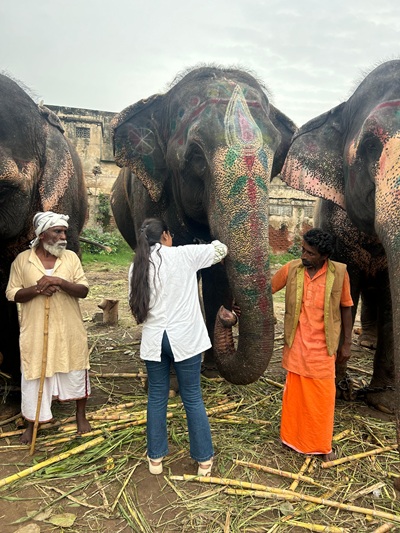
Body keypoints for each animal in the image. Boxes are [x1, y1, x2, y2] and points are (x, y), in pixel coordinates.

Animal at [111, 66, 296, 385]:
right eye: (196, 156)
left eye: (275, 157)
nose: (229, 314)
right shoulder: (146, 195)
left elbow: (217, 277)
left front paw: (210, 370)